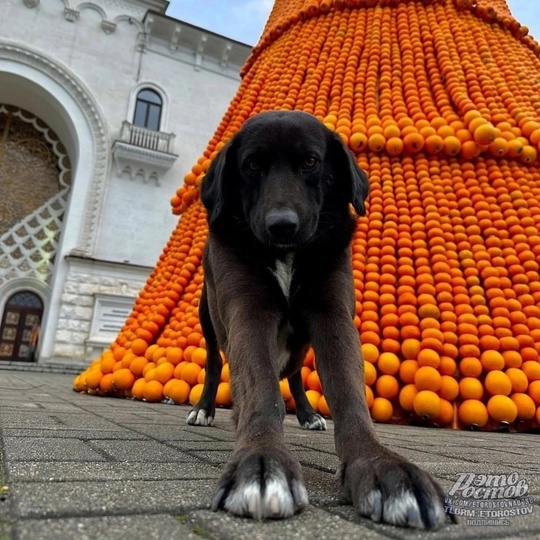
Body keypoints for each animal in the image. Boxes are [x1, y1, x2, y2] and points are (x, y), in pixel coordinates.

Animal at [186, 109, 448, 528]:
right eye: (252, 166)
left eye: (310, 162)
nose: (282, 225)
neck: (288, 255)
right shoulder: (247, 311)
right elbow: (261, 390)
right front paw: (262, 461)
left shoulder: (333, 315)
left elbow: (348, 393)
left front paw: (382, 466)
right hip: (208, 318)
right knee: (214, 364)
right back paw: (204, 409)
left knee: (294, 373)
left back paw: (309, 415)